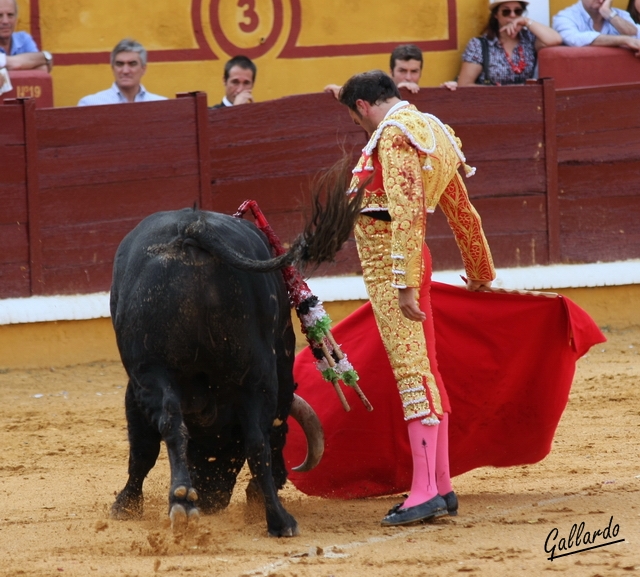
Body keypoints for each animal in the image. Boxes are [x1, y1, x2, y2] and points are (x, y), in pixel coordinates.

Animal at [107, 158, 362, 536]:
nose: (211, 499)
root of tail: (193, 229)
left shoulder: (136, 382)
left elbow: (145, 446)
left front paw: (126, 506)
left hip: (155, 371)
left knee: (171, 423)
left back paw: (185, 502)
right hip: (250, 373)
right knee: (254, 437)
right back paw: (274, 518)